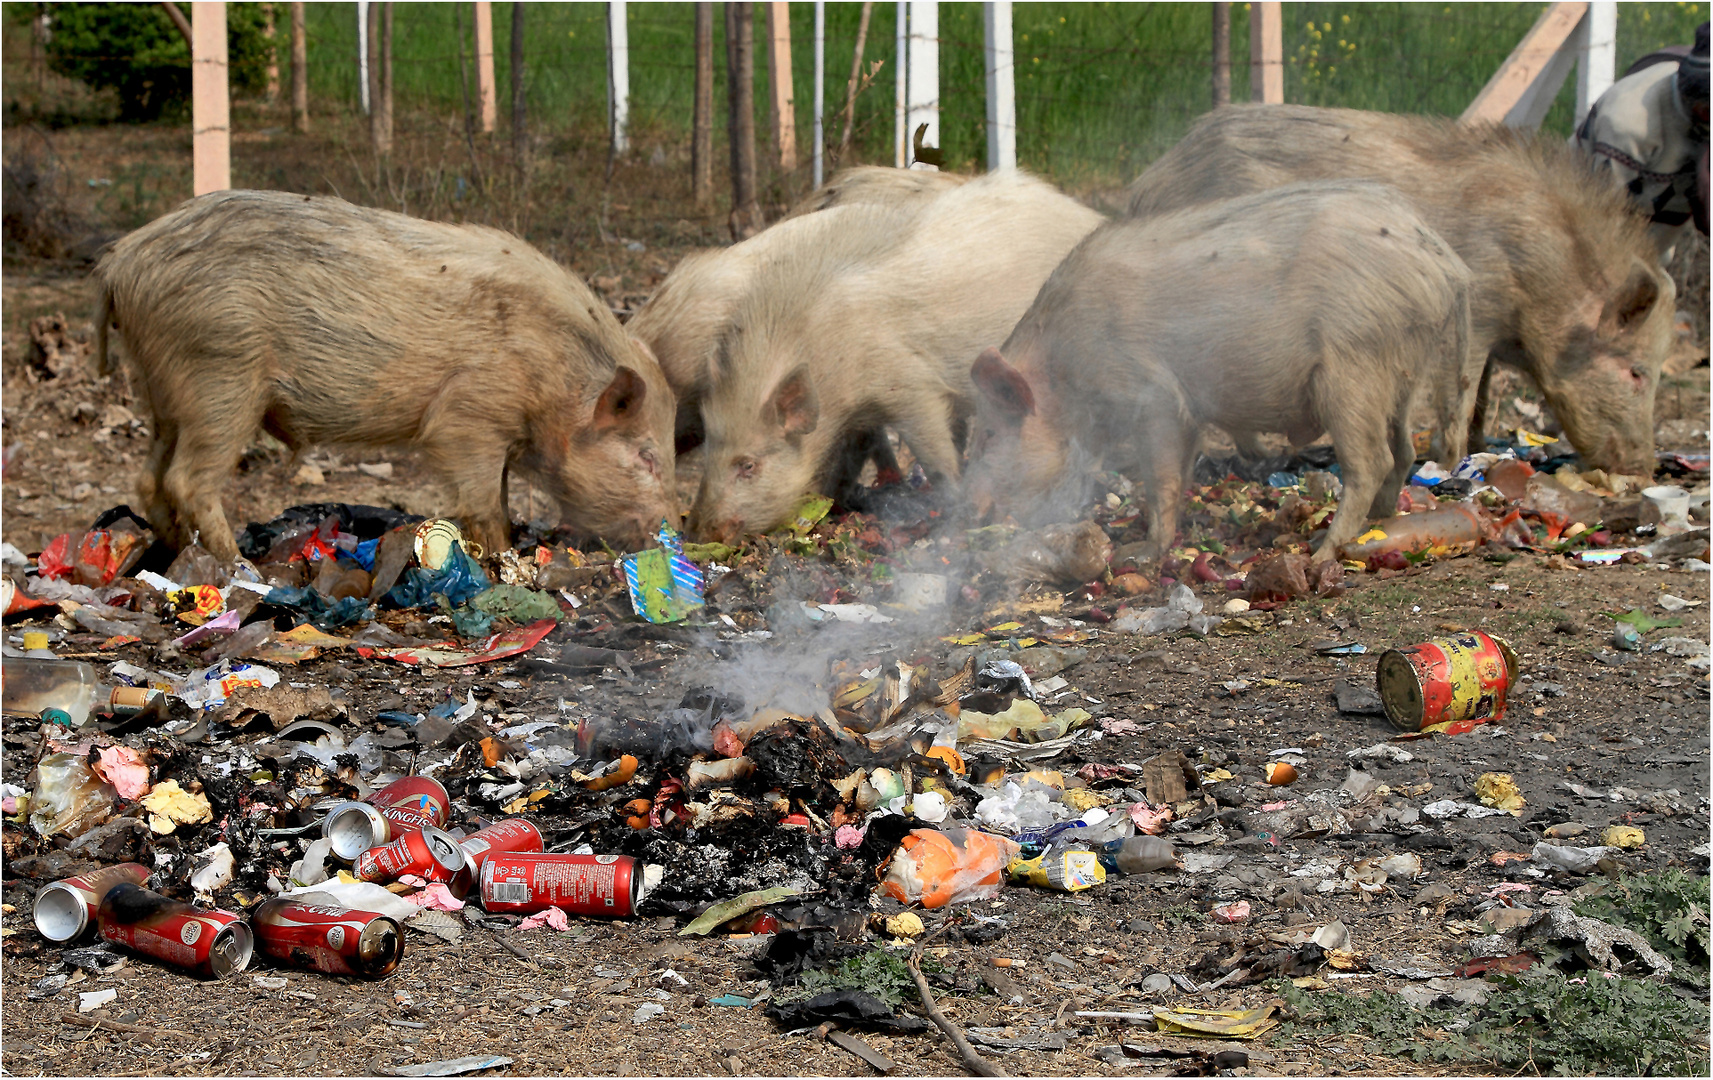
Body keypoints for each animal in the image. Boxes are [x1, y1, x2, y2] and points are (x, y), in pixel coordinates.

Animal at [97, 192, 674, 565]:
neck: (557, 378)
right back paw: (240, 567)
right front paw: (504, 559)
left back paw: (175, 553)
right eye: (646, 456)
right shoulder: (468, 419)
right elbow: (486, 503)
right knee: (188, 480)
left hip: (164, 394)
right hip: (220, 378)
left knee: (149, 478)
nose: (667, 529)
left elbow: (501, 496)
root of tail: (121, 263)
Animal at [685, 167, 1103, 541]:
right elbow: (852, 456)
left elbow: (935, 455)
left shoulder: (911, 386)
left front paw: (952, 501)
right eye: (709, 451)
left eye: (748, 465)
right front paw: (832, 504)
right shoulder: (859, 415)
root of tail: (1090, 216)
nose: (696, 534)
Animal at [972, 180, 1480, 562]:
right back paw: (1377, 524)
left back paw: (1321, 553)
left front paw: (1142, 552)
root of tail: (1444, 262)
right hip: (1401, 374)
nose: (972, 511)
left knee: (1372, 460)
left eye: (991, 435)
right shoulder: (1189, 412)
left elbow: (1159, 477)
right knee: (1403, 451)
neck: (1063, 373)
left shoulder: (1150, 395)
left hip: (1354, 367)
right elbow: (1180, 471)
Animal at [1123, 103, 1671, 476]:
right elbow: (1460, 390)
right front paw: (1450, 465)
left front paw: (1480, 449)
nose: (1644, 468)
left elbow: (1482, 395)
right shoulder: (1478, 308)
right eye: (1637, 372)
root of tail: (1148, 184)